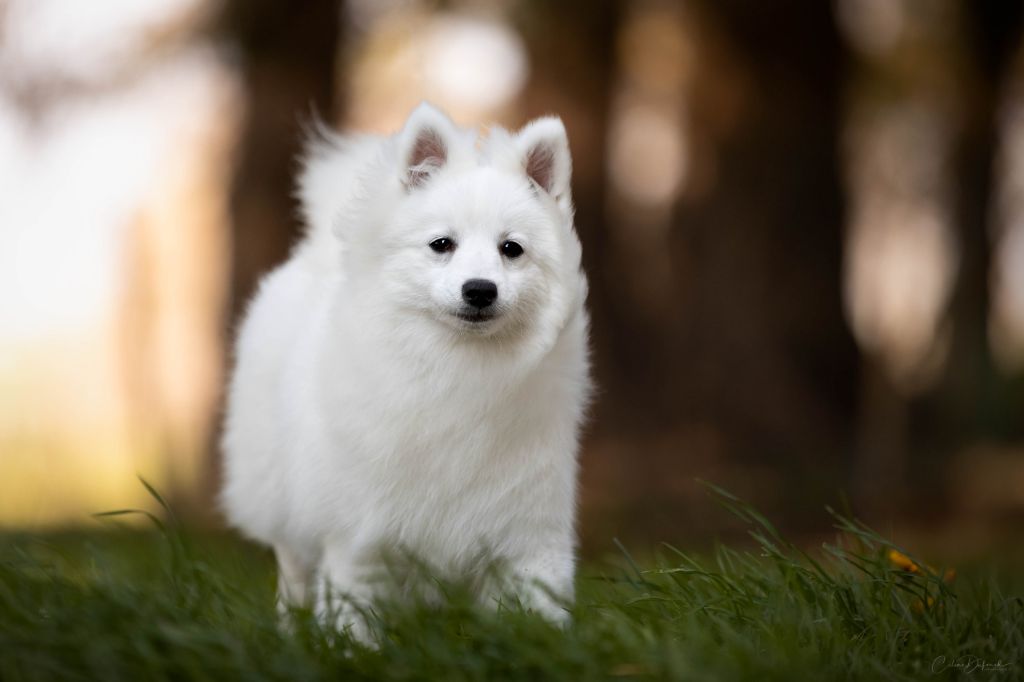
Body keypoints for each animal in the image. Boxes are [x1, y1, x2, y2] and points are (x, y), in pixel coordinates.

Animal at [222, 102, 593, 630]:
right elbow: (353, 613)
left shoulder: (529, 530)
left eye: (511, 249)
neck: (458, 368)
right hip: (282, 500)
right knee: (292, 573)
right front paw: (349, 644)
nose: (480, 289)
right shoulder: (359, 539)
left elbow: (537, 606)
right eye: (442, 244)